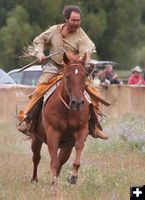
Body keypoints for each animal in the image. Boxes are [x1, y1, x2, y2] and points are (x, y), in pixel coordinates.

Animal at [31, 51, 89, 186]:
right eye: (67, 77)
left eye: (84, 76)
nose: (77, 103)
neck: (67, 109)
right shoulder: (52, 133)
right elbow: (53, 161)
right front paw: (54, 183)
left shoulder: (82, 129)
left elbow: (79, 148)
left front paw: (73, 176)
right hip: (36, 138)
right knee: (36, 158)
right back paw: (35, 179)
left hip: (67, 146)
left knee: (61, 161)